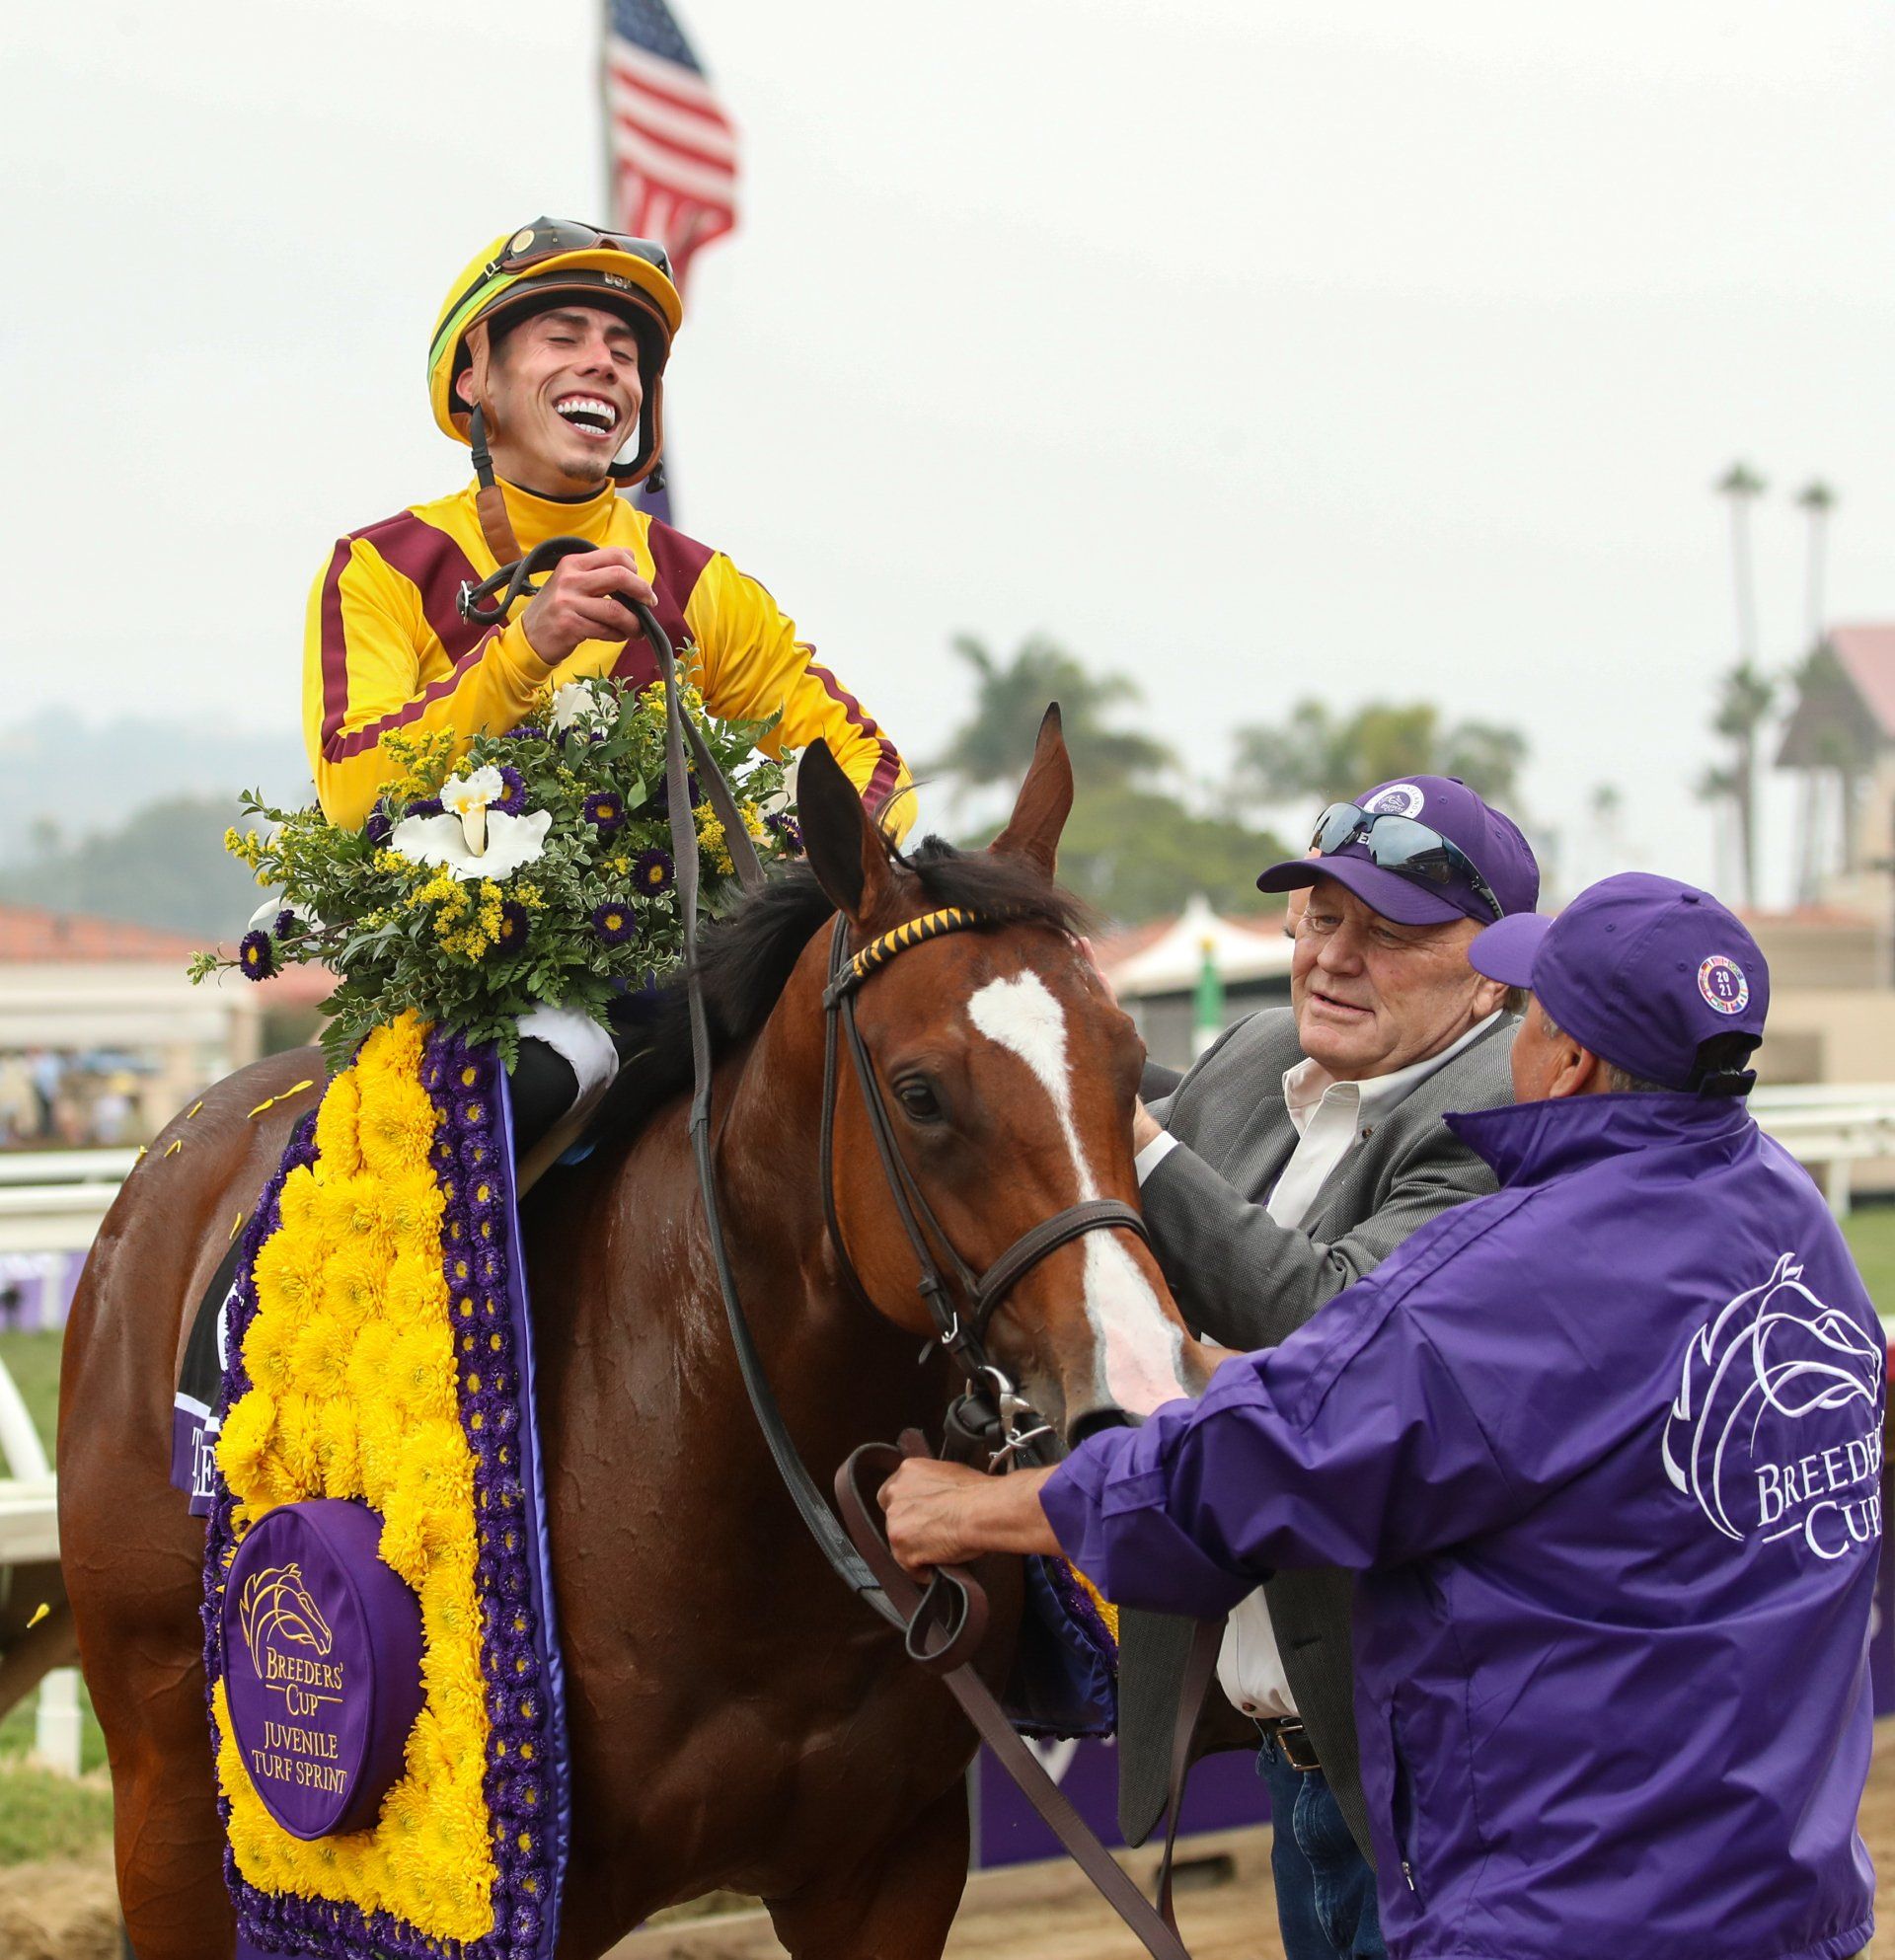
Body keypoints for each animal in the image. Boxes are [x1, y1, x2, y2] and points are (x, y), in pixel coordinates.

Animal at [63, 720, 1215, 1960]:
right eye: (921, 1095)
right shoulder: (541, 1906)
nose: (1141, 1379)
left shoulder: (890, 1867)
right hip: (171, 1797)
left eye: (1128, 1060)